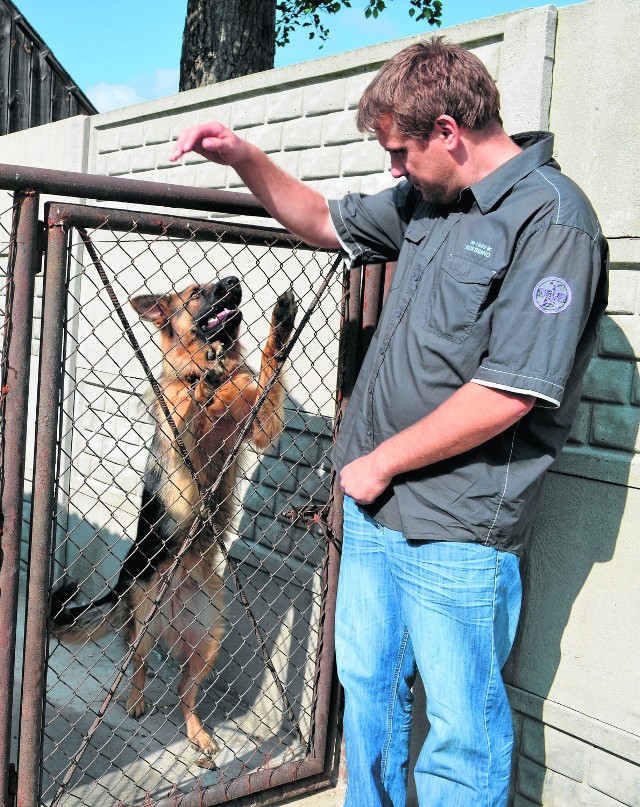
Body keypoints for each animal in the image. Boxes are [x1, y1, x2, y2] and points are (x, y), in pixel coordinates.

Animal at [50, 276, 298, 764]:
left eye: (222, 280)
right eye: (197, 292)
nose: (234, 281)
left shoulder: (259, 423)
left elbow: (267, 374)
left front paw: (277, 331)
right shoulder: (180, 434)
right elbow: (189, 406)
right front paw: (202, 386)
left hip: (208, 639)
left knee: (186, 692)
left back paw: (197, 733)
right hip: (144, 625)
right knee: (140, 667)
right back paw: (135, 701)